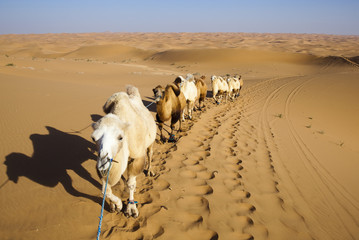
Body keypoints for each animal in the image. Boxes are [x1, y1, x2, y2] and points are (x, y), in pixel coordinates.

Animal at [91, 86, 156, 218]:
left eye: (120, 137)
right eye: (93, 138)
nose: (103, 163)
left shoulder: (137, 157)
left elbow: (130, 183)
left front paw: (131, 208)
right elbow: (105, 188)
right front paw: (115, 205)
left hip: (150, 141)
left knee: (150, 153)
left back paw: (149, 171)